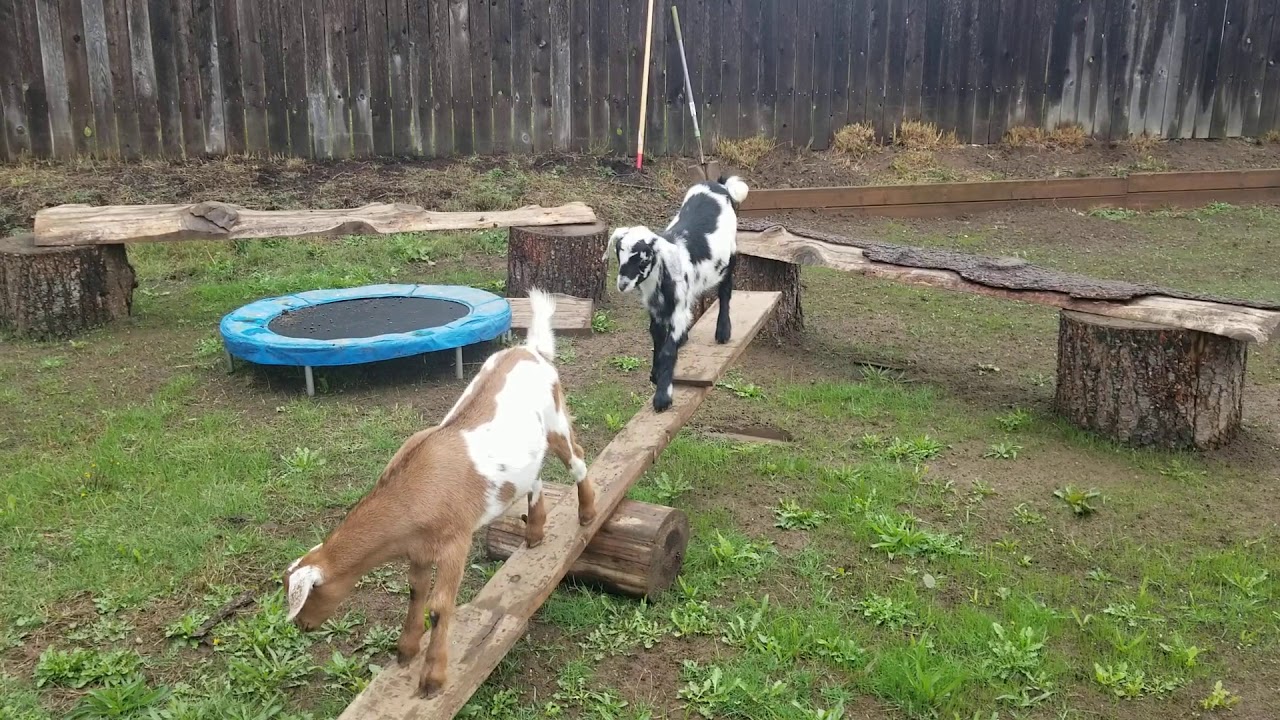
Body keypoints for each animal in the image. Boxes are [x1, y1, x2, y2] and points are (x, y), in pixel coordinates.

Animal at [281, 288, 596, 698]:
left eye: (310, 594)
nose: (301, 626)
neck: (412, 494)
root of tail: (530, 351)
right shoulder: (417, 550)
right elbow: (416, 593)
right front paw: (405, 651)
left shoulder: (454, 544)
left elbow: (440, 606)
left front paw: (432, 678)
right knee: (535, 477)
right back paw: (535, 532)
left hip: (557, 420)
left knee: (578, 460)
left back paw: (587, 513)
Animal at [602, 175, 750, 412]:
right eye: (618, 255)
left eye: (642, 260)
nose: (622, 284)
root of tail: (718, 184)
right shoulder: (655, 310)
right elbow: (656, 338)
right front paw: (655, 374)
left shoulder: (678, 311)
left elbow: (668, 351)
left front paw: (663, 397)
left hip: (731, 255)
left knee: (725, 290)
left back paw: (723, 331)